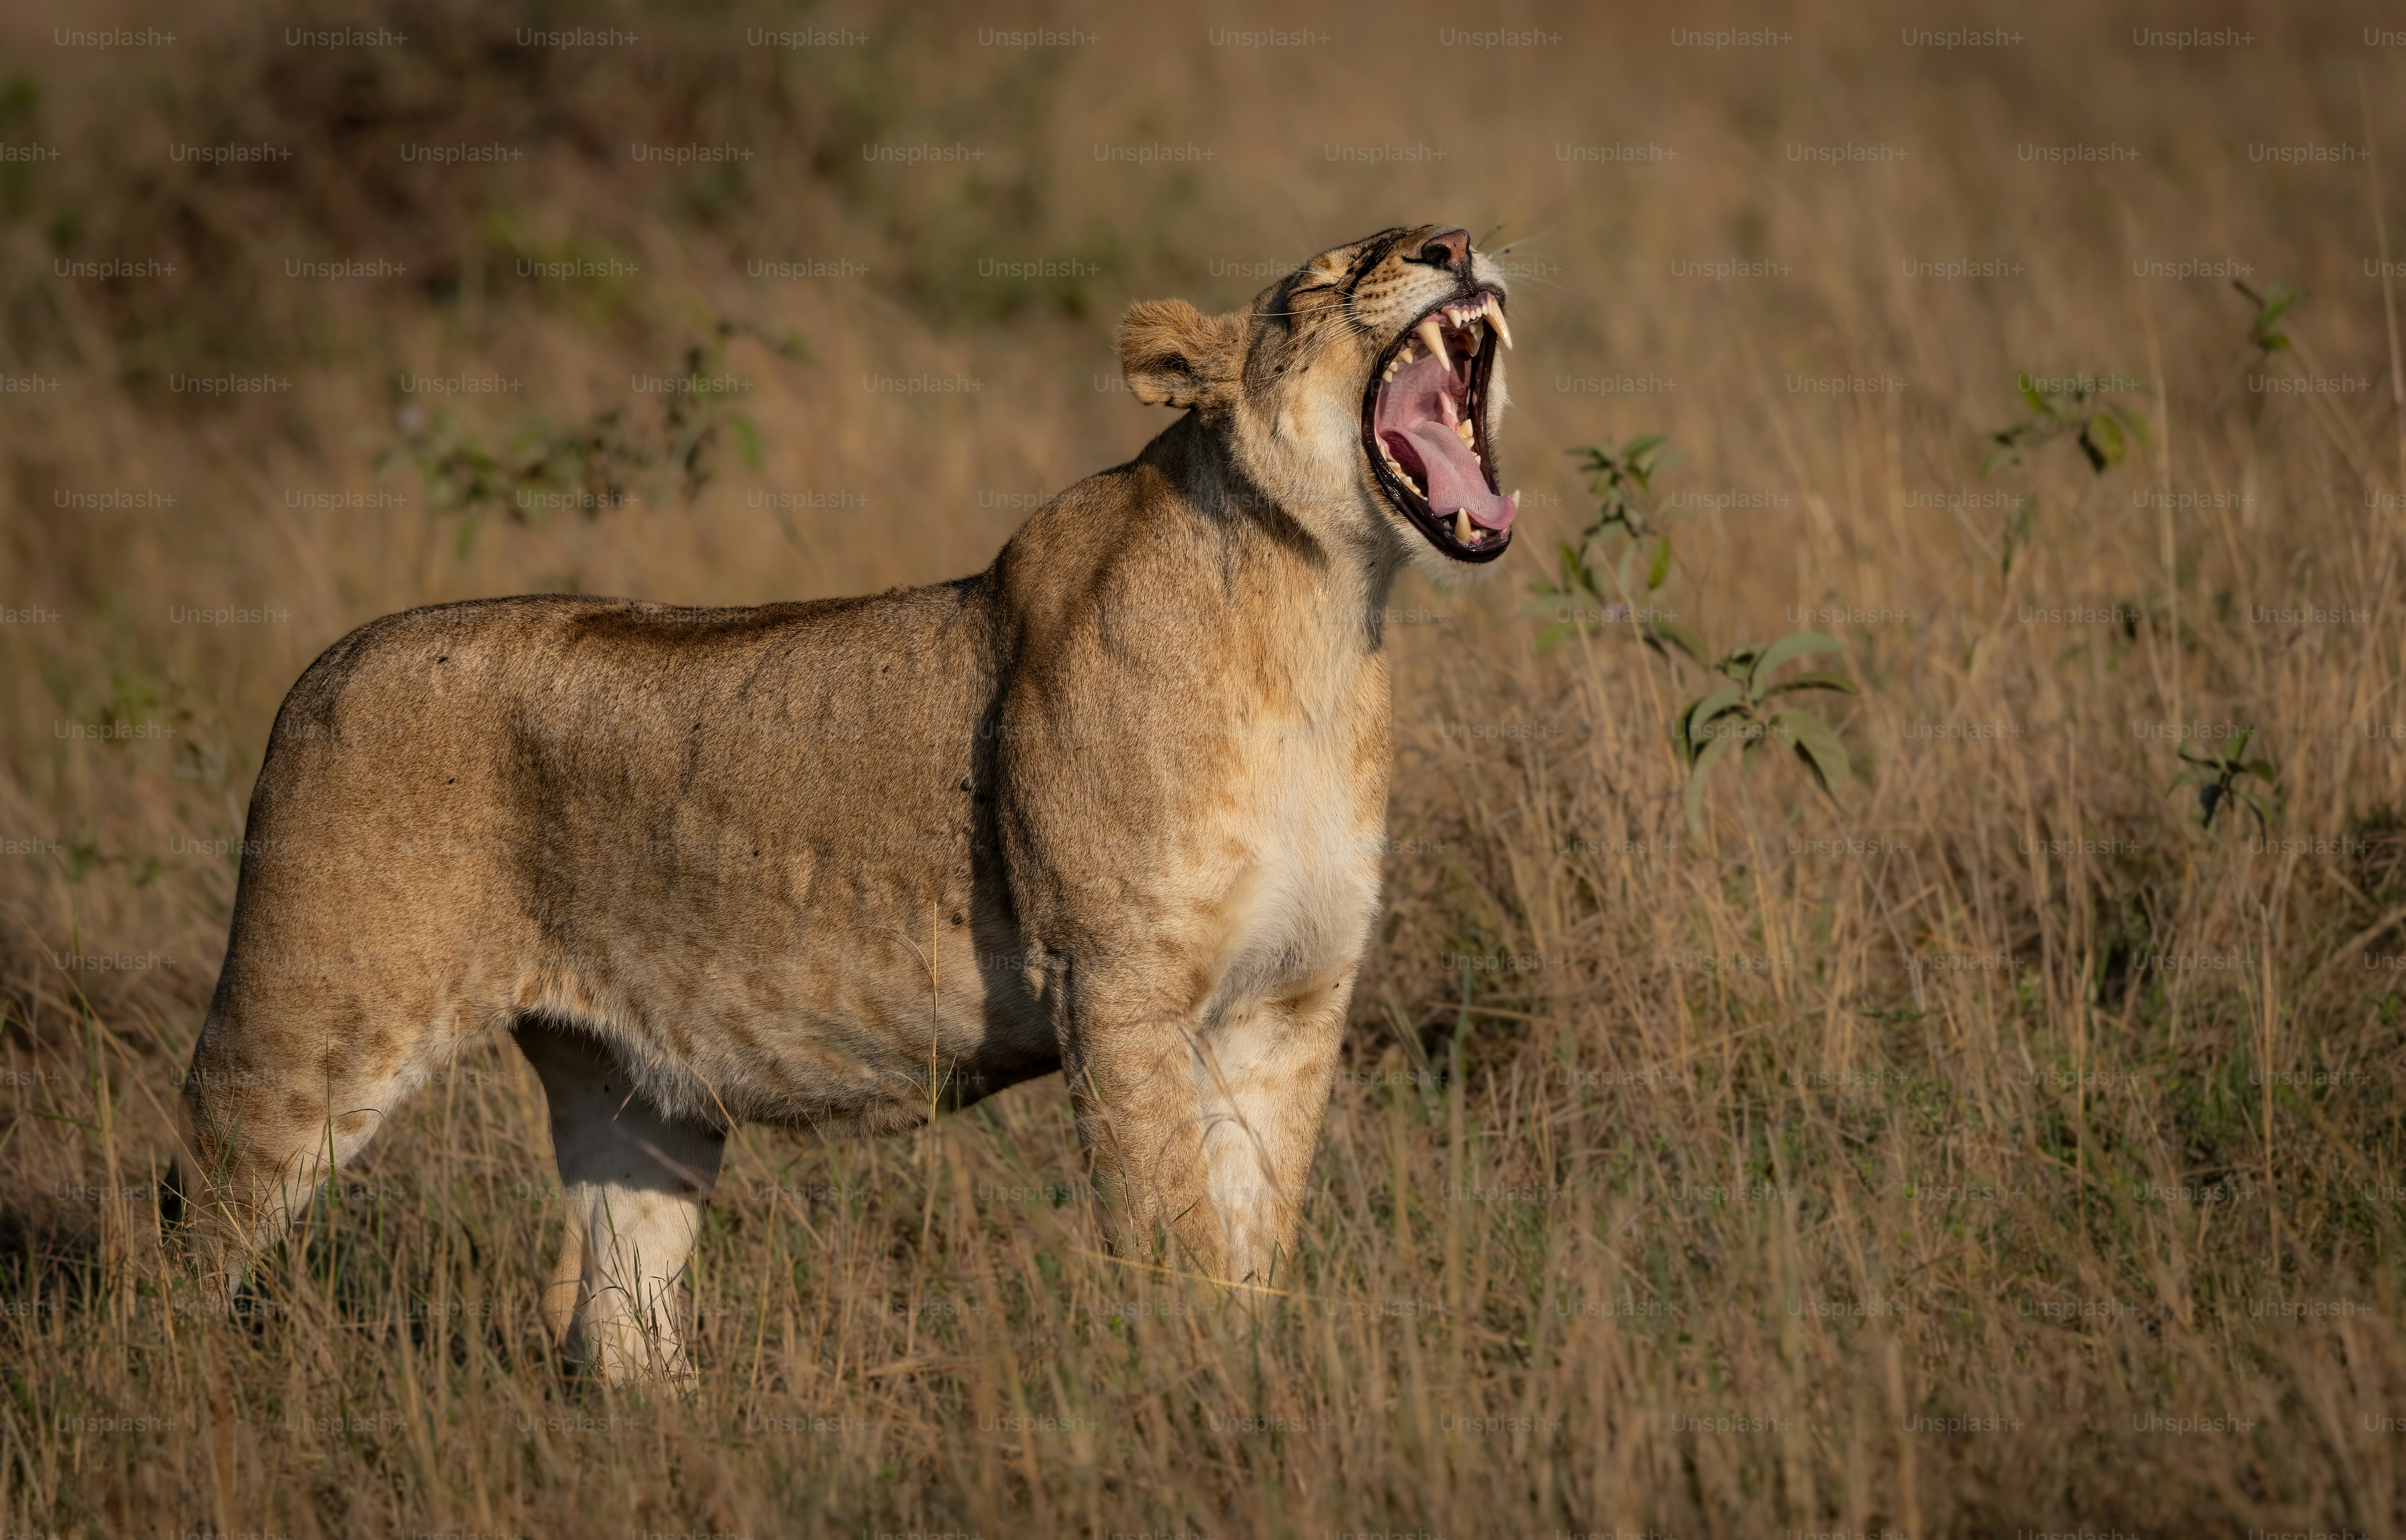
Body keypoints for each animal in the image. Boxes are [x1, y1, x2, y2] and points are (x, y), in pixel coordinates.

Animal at [169, 223, 1517, 1380]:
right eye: (1322, 282)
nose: (1452, 244)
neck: (1320, 614)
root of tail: (322, 665)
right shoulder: (1115, 984)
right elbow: (1168, 1222)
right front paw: (1189, 1396)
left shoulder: (1290, 997)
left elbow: (1255, 1230)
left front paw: (1251, 1376)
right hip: (305, 1026)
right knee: (179, 1233)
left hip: (631, 1097)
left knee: (619, 1314)